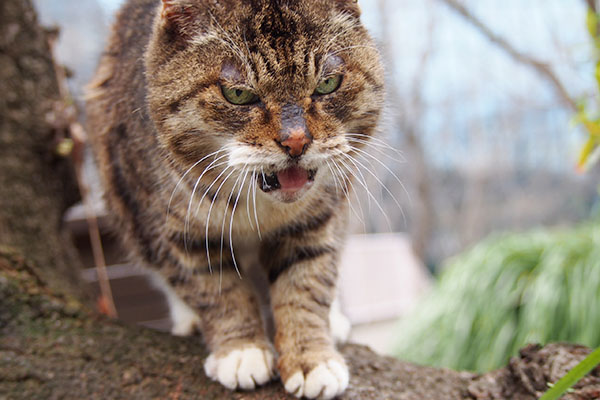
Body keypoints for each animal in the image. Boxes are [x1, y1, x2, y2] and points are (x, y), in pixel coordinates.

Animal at [86, 0, 382, 396]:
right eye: (238, 94)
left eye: (328, 84)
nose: (296, 142)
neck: (259, 208)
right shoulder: (179, 233)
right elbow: (218, 292)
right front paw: (241, 351)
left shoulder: (317, 218)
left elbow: (305, 283)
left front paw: (311, 359)